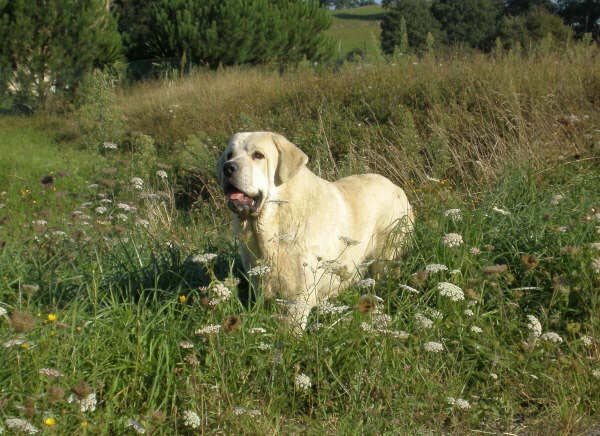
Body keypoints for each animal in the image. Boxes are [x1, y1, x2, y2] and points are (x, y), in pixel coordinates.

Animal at [217, 131, 412, 328]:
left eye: (258, 155)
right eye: (229, 155)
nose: (228, 168)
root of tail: (397, 187)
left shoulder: (298, 299)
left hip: (387, 258)